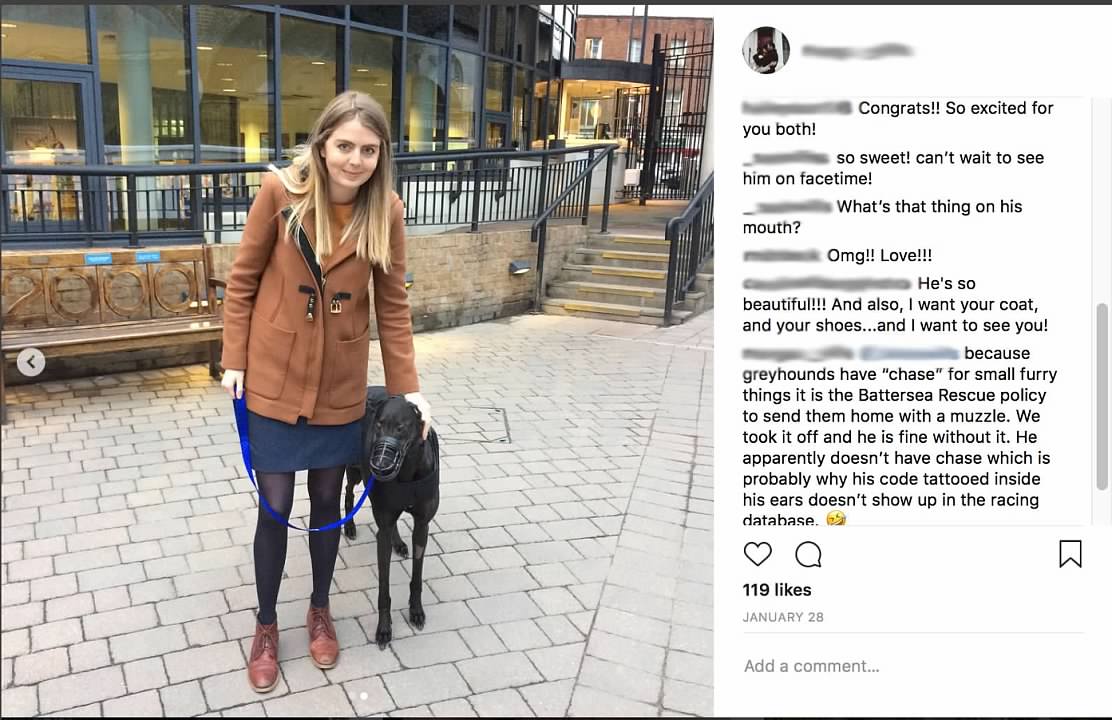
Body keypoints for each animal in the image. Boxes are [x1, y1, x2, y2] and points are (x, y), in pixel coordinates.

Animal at [344, 386, 439, 649]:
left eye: (401, 428)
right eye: (378, 425)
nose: (380, 466)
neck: (406, 473)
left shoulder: (422, 526)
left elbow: (417, 577)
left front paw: (416, 611)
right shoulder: (382, 533)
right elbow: (383, 589)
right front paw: (384, 629)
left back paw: (399, 544)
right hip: (354, 470)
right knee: (347, 490)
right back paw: (349, 527)